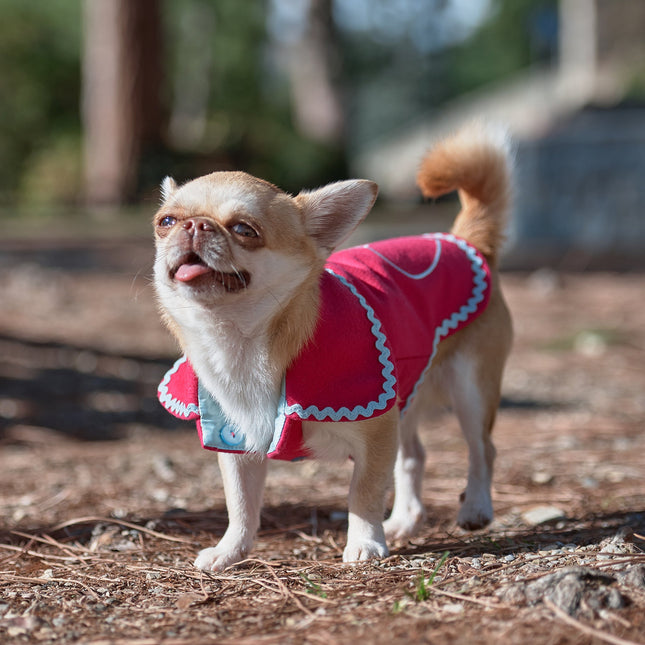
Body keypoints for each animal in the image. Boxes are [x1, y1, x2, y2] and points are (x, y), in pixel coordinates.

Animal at [153, 124, 510, 568]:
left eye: (244, 230)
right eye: (166, 221)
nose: (194, 226)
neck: (243, 341)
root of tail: (465, 241)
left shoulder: (375, 433)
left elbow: (364, 493)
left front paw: (365, 542)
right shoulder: (236, 441)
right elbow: (241, 504)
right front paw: (230, 550)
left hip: (469, 389)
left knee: (482, 449)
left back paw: (475, 508)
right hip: (404, 397)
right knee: (414, 456)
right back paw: (404, 521)